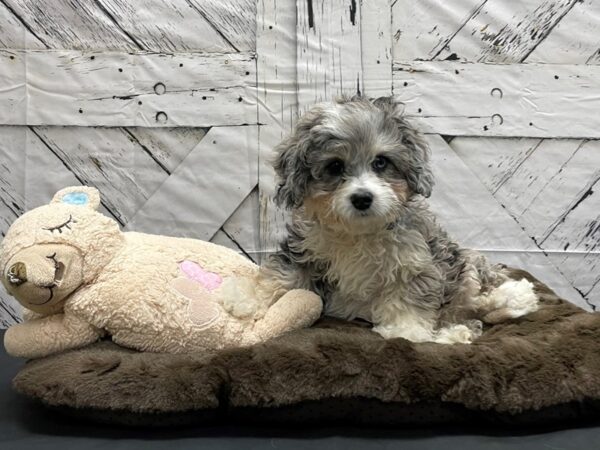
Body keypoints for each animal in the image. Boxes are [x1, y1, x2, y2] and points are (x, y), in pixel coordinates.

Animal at [258, 96, 540, 344]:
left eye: (381, 162)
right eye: (335, 166)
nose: (362, 198)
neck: (359, 234)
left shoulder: (416, 263)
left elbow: (409, 304)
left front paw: (408, 332)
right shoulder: (303, 251)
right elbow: (283, 279)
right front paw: (254, 303)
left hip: (464, 265)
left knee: (479, 292)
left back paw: (512, 298)